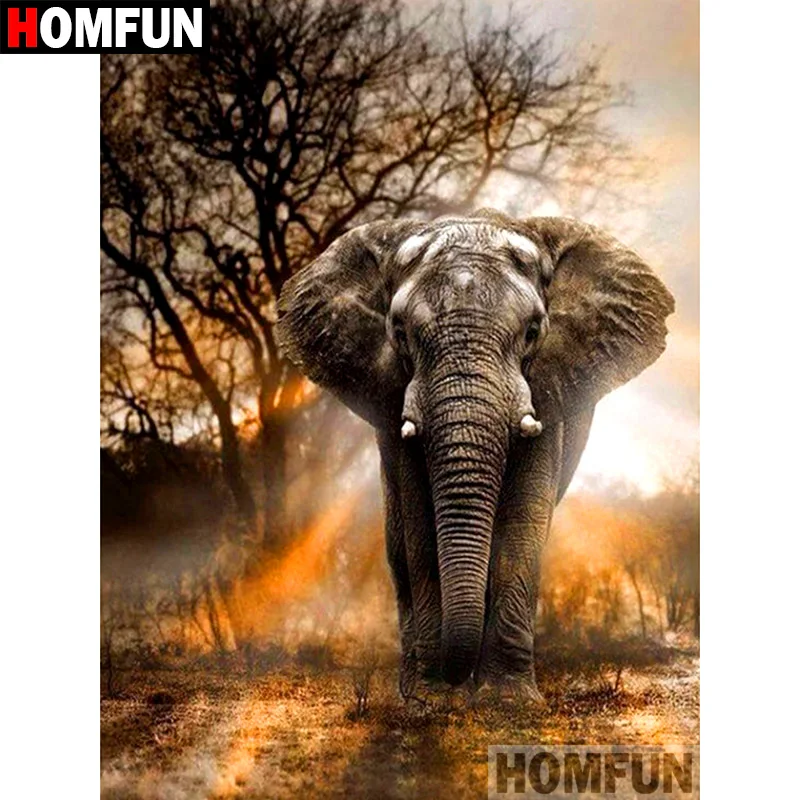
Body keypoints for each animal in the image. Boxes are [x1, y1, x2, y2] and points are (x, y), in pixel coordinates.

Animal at [277, 209, 674, 703]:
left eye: (533, 332)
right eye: (399, 333)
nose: (453, 679)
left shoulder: (547, 390)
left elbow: (523, 520)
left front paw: (509, 702)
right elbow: (420, 525)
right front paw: (431, 701)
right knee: (397, 546)